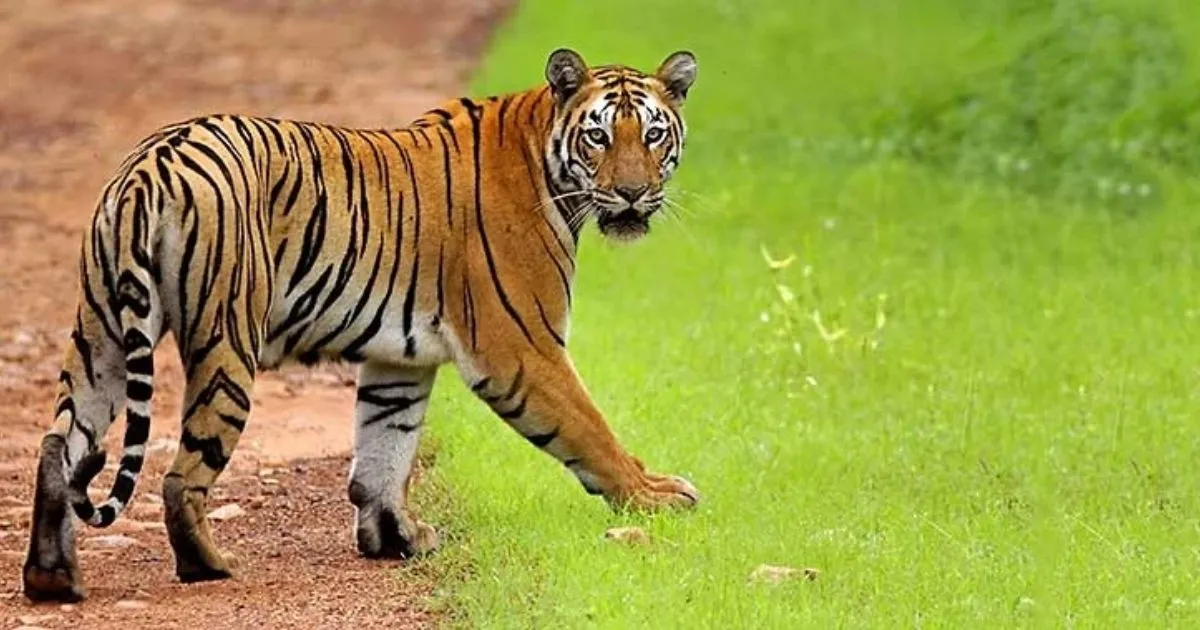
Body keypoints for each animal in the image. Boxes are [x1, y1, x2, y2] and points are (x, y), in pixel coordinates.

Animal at [21, 48, 700, 601]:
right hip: (226, 340)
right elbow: (591, 429)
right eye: (599, 137)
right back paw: (209, 566)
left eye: (653, 134)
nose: (634, 194)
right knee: (180, 476)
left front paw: (396, 538)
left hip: (102, 335)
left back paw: (51, 578)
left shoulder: (400, 360)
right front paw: (654, 497)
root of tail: (149, 164)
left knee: (59, 445)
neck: (547, 159)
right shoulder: (522, 349)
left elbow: (384, 451)